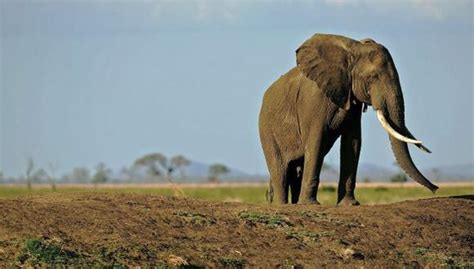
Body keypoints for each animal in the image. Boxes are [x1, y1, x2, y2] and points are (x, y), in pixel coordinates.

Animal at [260, 34, 436, 205]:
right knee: (281, 171)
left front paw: (350, 204)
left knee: (296, 169)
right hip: (266, 130)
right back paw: (283, 205)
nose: (435, 189)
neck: (353, 49)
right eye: (373, 77)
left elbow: (352, 142)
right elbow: (316, 141)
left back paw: (294, 203)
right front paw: (310, 205)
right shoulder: (314, 100)